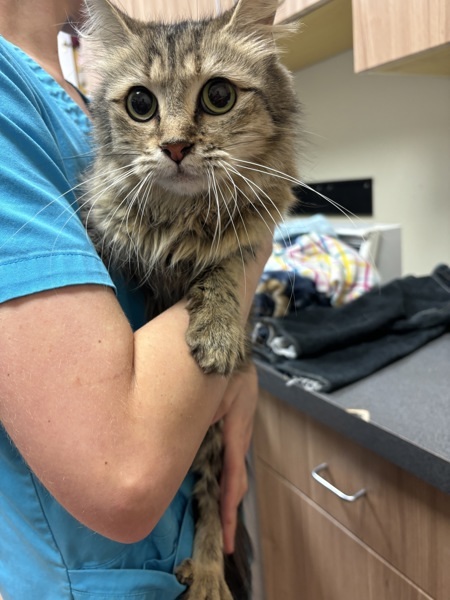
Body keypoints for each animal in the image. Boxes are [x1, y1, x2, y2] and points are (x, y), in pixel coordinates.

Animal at [80, 2, 300, 596]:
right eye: (141, 104)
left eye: (218, 95)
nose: (175, 147)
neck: (181, 216)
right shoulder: (111, 225)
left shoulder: (249, 235)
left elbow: (223, 268)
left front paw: (218, 332)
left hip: (216, 440)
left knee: (208, 496)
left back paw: (205, 572)